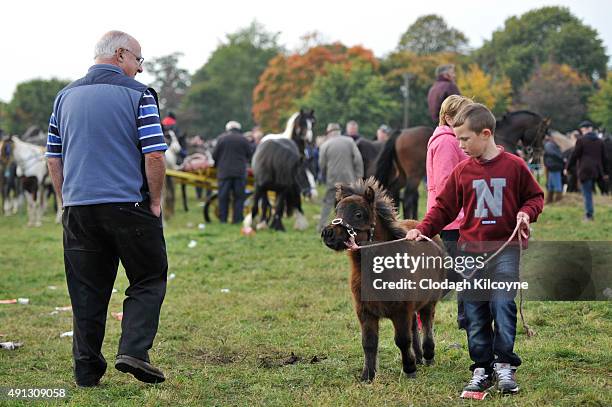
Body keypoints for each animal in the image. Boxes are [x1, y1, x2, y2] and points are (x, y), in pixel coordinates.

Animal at [320, 178, 444, 382]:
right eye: (337, 211)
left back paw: (427, 356)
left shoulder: (401, 310)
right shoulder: (365, 312)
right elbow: (369, 343)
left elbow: (402, 340)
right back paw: (418, 357)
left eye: (358, 214)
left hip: (429, 301)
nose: (327, 233)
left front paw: (409, 369)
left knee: (426, 322)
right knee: (414, 326)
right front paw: (367, 376)